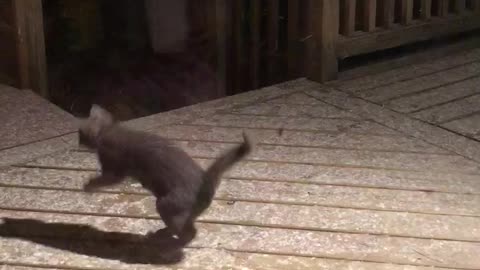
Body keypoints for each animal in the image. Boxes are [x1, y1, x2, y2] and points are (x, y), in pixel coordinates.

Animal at [78, 105, 255, 247]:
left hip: (166, 204)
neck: (110, 130)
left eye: (79, 133)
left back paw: (169, 240)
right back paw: (162, 233)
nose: (77, 142)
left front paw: (88, 186)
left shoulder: (113, 164)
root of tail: (206, 183)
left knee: (189, 232)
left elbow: (106, 178)